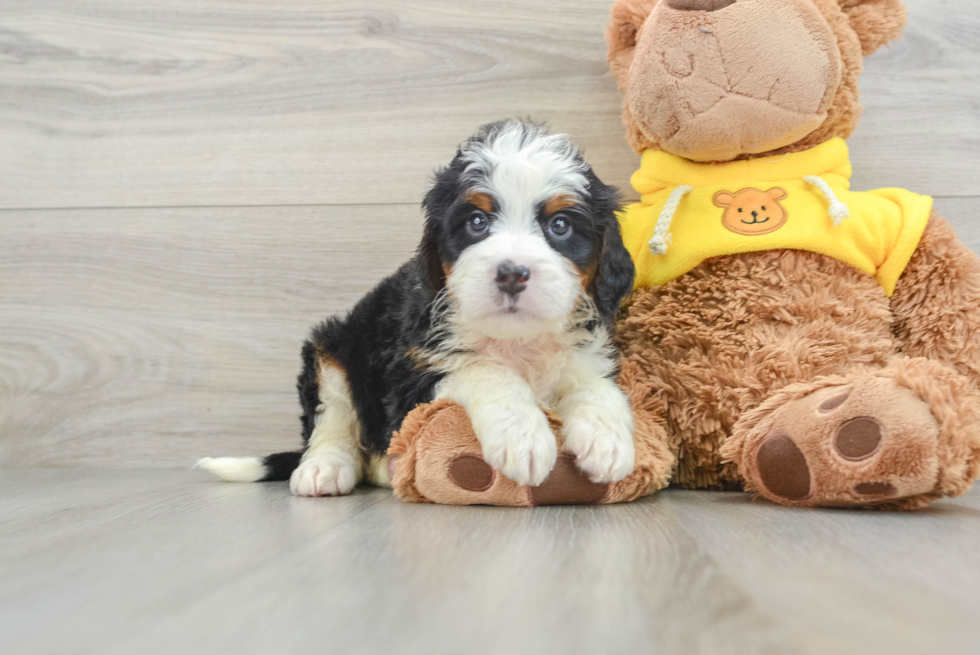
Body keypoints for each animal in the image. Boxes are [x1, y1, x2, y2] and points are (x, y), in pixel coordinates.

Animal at [203, 120, 640, 494]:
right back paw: (324, 469)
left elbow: (595, 388)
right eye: (477, 222)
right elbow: (487, 371)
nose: (512, 274)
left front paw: (608, 440)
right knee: (333, 419)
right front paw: (524, 437)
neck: (515, 339)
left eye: (560, 226)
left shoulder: (583, 354)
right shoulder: (413, 374)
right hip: (333, 346)